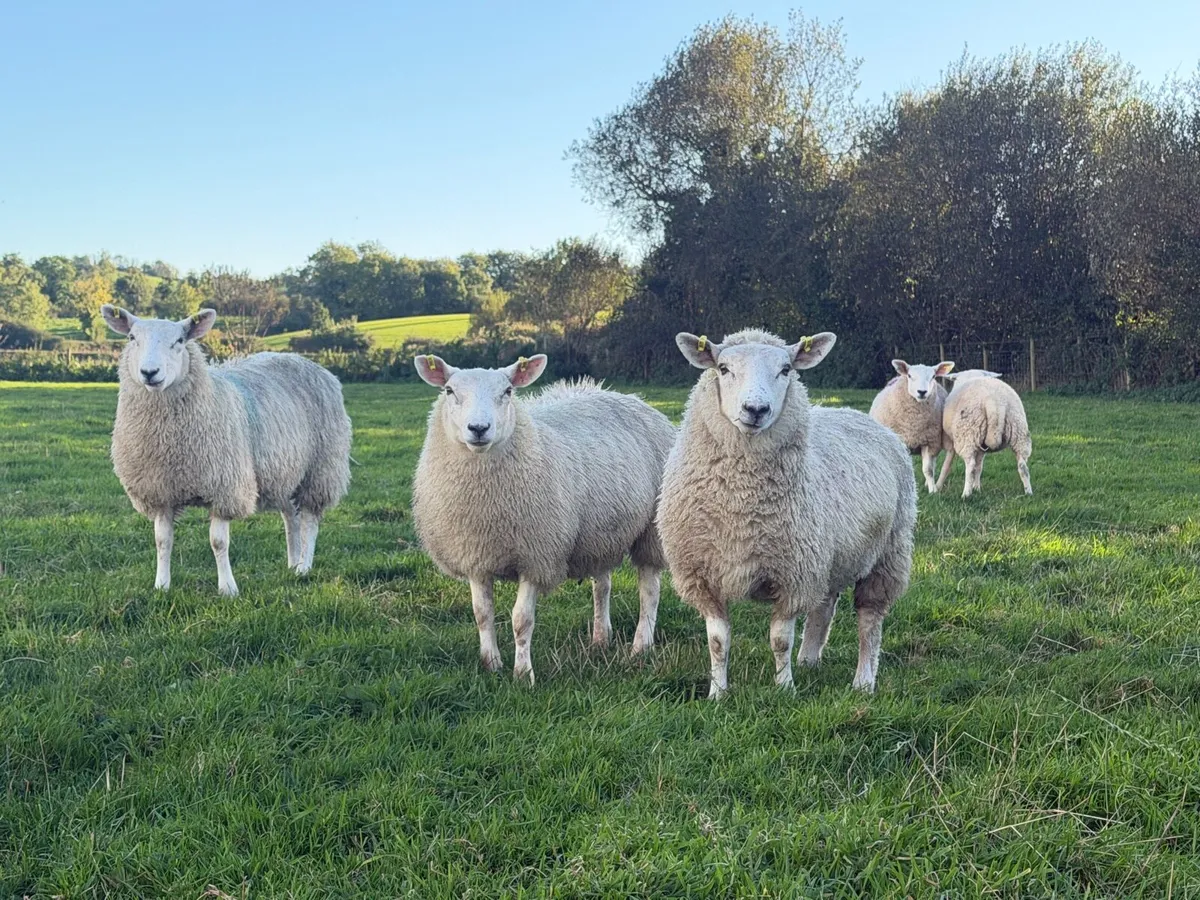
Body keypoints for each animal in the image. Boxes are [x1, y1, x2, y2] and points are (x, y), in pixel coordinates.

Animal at [101, 305, 352, 595]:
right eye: (132, 338)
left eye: (179, 341)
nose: (149, 372)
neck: (168, 443)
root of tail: (305, 361)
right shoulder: (161, 491)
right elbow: (162, 541)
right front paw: (162, 585)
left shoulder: (225, 488)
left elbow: (218, 542)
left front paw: (228, 589)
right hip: (284, 470)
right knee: (291, 516)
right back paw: (292, 563)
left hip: (320, 470)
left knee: (309, 520)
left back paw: (304, 567)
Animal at [411, 353, 675, 684]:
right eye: (449, 391)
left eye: (508, 391)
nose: (479, 428)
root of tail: (627, 396)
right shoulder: (476, 556)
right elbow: (482, 613)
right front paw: (491, 664)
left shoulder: (536, 556)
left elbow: (521, 620)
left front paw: (523, 674)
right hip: (599, 533)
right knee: (602, 586)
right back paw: (601, 638)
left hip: (651, 530)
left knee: (649, 591)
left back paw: (641, 647)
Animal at [657, 328, 917, 698]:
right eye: (723, 368)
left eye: (785, 370)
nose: (756, 409)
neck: (740, 501)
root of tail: (853, 413)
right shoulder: (702, 577)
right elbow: (718, 641)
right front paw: (718, 693)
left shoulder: (794, 574)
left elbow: (780, 640)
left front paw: (784, 689)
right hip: (828, 556)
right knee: (824, 606)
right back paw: (809, 660)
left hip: (888, 553)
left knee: (870, 621)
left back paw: (863, 681)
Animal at [869, 359, 956, 493]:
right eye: (910, 376)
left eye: (933, 376)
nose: (922, 392)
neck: (914, 425)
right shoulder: (903, 443)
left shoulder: (928, 442)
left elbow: (928, 469)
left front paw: (933, 490)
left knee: (933, 463)